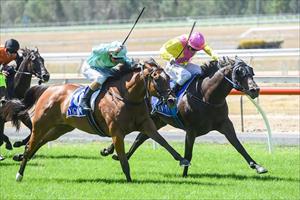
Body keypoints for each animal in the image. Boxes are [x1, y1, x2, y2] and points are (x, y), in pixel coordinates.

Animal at [5, 58, 190, 182]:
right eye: (157, 78)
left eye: (169, 78)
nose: (172, 100)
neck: (126, 97)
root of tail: (48, 89)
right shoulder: (116, 132)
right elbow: (123, 159)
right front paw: (129, 180)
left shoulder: (146, 124)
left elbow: (163, 142)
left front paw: (182, 159)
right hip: (41, 124)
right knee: (31, 145)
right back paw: (19, 173)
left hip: (61, 128)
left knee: (41, 142)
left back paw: (20, 157)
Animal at [101, 56, 270, 177]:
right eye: (239, 73)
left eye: (252, 73)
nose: (255, 90)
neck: (206, 96)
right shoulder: (191, 129)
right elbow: (188, 153)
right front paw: (184, 173)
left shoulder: (225, 124)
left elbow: (238, 145)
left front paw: (258, 166)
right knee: (134, 136)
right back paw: (111, 151)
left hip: (157, 120)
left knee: (140, 138)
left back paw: (118, 154)